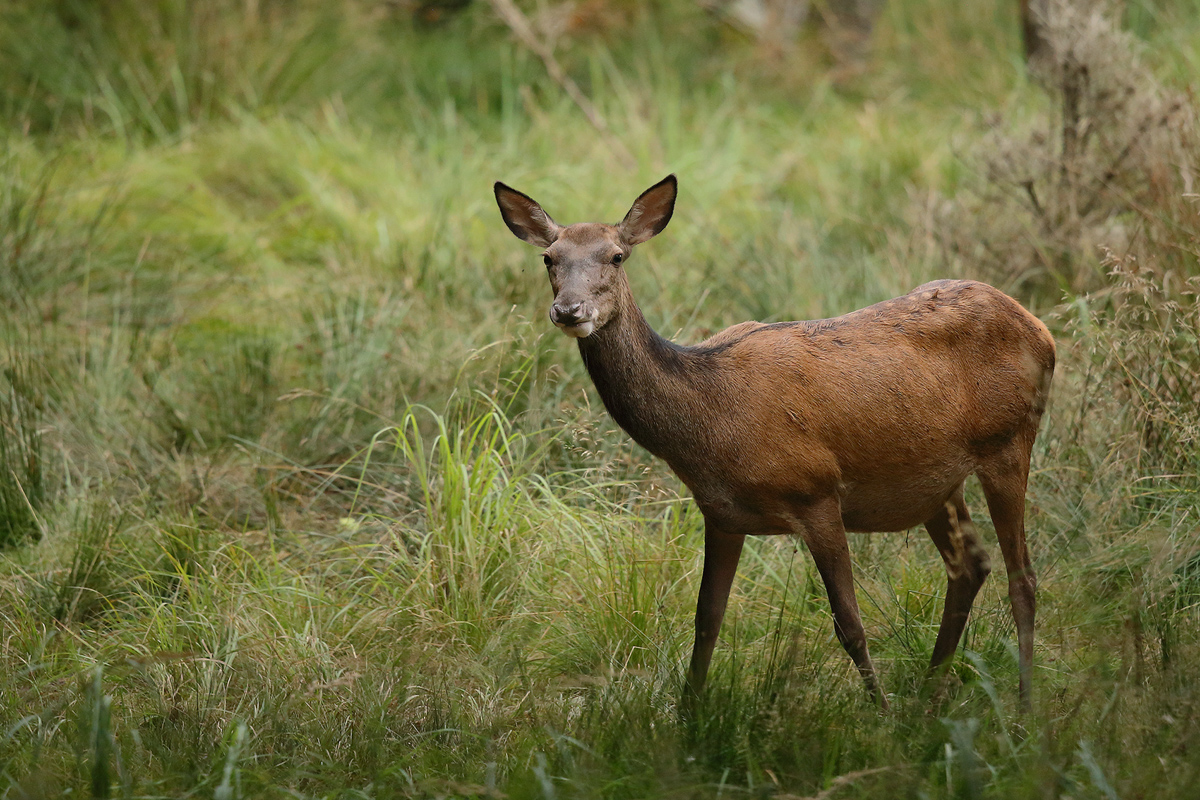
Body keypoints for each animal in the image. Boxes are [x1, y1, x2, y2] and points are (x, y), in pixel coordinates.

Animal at [492, 173, 1056, 705]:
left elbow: (849, 625)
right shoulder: (721, 514)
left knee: (1023, 578)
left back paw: (1024, 707)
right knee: (970, 566)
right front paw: (687, 719)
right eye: (549, 258)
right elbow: (706, 622)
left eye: (616, 255)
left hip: (1010, 438)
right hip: (936, 481)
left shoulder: (817, 492)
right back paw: (929, 695)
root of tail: (1041, 329)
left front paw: (881, 717)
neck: (708, 417)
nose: (570, 310)